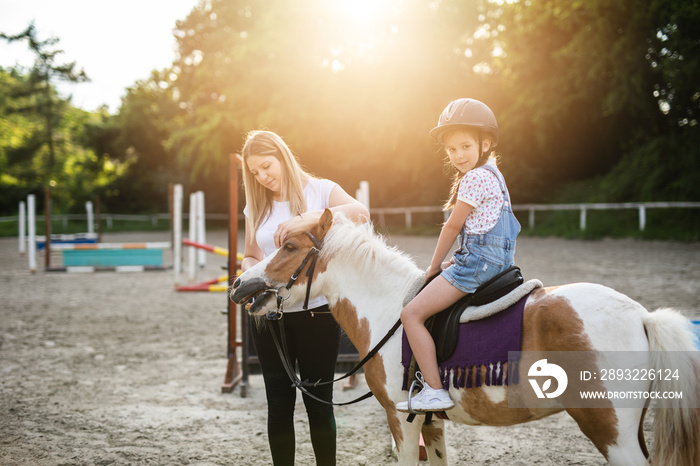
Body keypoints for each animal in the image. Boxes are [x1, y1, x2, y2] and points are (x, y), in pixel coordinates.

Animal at [232, 211, 700, 466]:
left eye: (289, 247)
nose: (239, 284)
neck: (388, 309)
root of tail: (643, 316)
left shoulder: (401, 420)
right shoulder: (432, 425)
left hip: (611, 431)